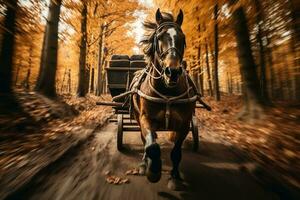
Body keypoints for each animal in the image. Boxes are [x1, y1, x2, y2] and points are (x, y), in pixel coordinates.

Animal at [131, 9, 197, 191]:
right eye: (159, 37)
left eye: (182, 38)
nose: (172, 72)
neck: (167, 92)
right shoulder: (146, 119)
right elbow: (152, 146)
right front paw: (153, 171)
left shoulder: (184, 123)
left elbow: (176, 152)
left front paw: (174, 177)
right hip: (137, 118)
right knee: (144, 141)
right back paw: (143, 164)